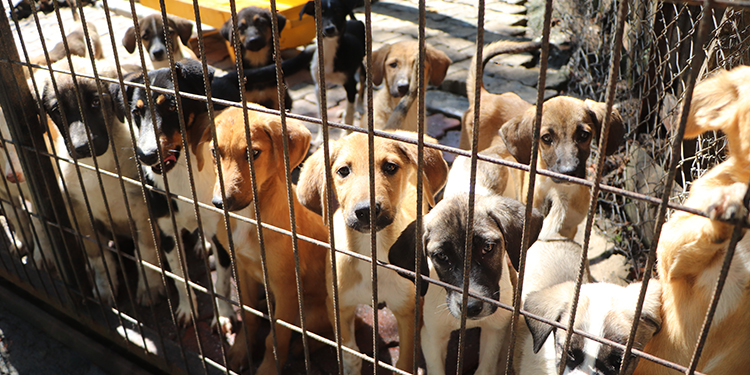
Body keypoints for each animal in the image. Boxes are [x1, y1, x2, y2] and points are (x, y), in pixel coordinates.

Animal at [210, 106, 330, 375]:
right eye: (214, 152)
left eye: (253, 153)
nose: (221, 203)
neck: (249, 216)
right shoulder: (241, 269)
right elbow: (248, 316)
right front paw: (241, 351)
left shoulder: (286, 285)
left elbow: (276, 338)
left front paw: (267, 368)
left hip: (314, 312)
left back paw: (302, 348)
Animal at [298, 131, 452, 375]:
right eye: (343, 171)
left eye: (390, 167)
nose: (366, 210)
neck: (370, 252)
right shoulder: (338, 305)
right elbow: (351, 354)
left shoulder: (407, 311)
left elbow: (404, 362)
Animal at [390, 194, 544, 375]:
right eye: (441, 256)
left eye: (487, 247)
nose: (471, 307)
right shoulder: (431, 336)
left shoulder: (494, 331)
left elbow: (485, 368)